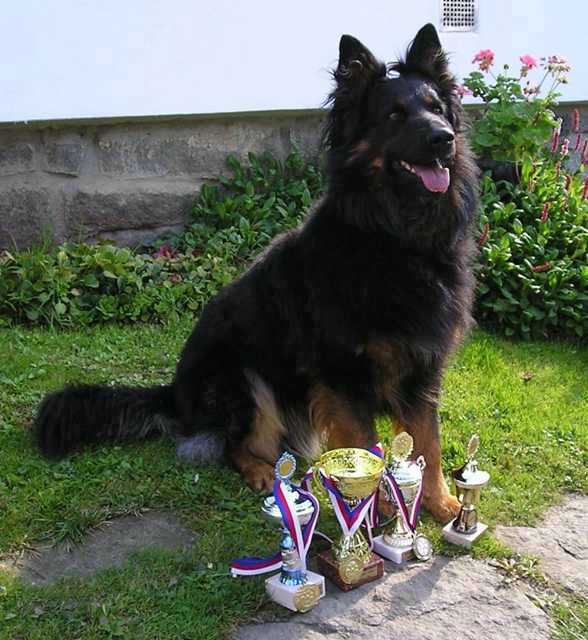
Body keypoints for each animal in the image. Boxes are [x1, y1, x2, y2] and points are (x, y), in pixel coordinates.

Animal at [35, 24, 478, 523]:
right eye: (394, 115)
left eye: (436, 108)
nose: (444, 138)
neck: (395, 238)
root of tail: (175, 394)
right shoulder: (344, 378)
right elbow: (369, 451)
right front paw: (373, 517)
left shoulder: (424, 370)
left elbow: (428, 444)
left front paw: (442, 504)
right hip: (246, 381)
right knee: (233, 446)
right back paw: (265, 474)